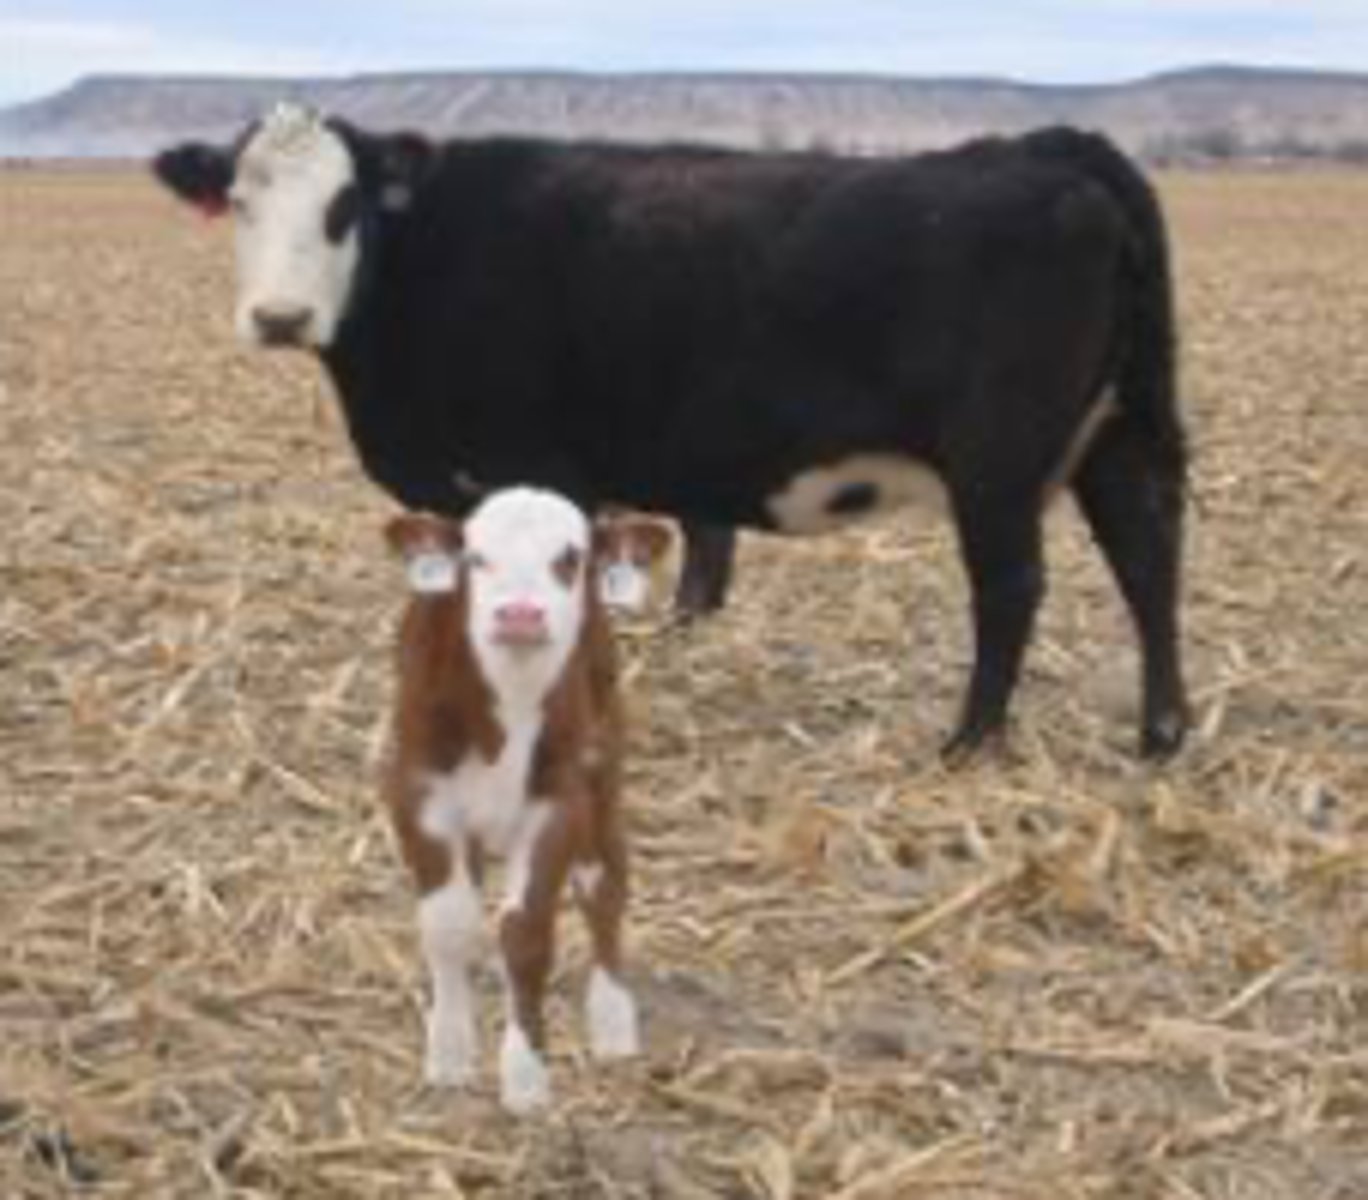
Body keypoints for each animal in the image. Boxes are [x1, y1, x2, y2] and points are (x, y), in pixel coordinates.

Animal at [153, 104, 1190, 760]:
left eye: (346, 207)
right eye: (239, 202)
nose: (280, 317)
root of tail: (1052, 147)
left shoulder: (535, 470)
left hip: (997, 464)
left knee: (1013, 588)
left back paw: (969, 742)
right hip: (1118, 432)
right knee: (1148, 555)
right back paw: (1161, 733)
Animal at [384, 487, 670, 1112]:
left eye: (570, 558)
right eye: (475, 558)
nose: (519, 614)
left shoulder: (560, 805)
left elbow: (526, 933)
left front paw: (525, 1077)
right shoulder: (416, 792)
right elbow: (449, 925)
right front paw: (449, 1053)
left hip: (604, 769)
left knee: (604, 885)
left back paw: (612, 1021)